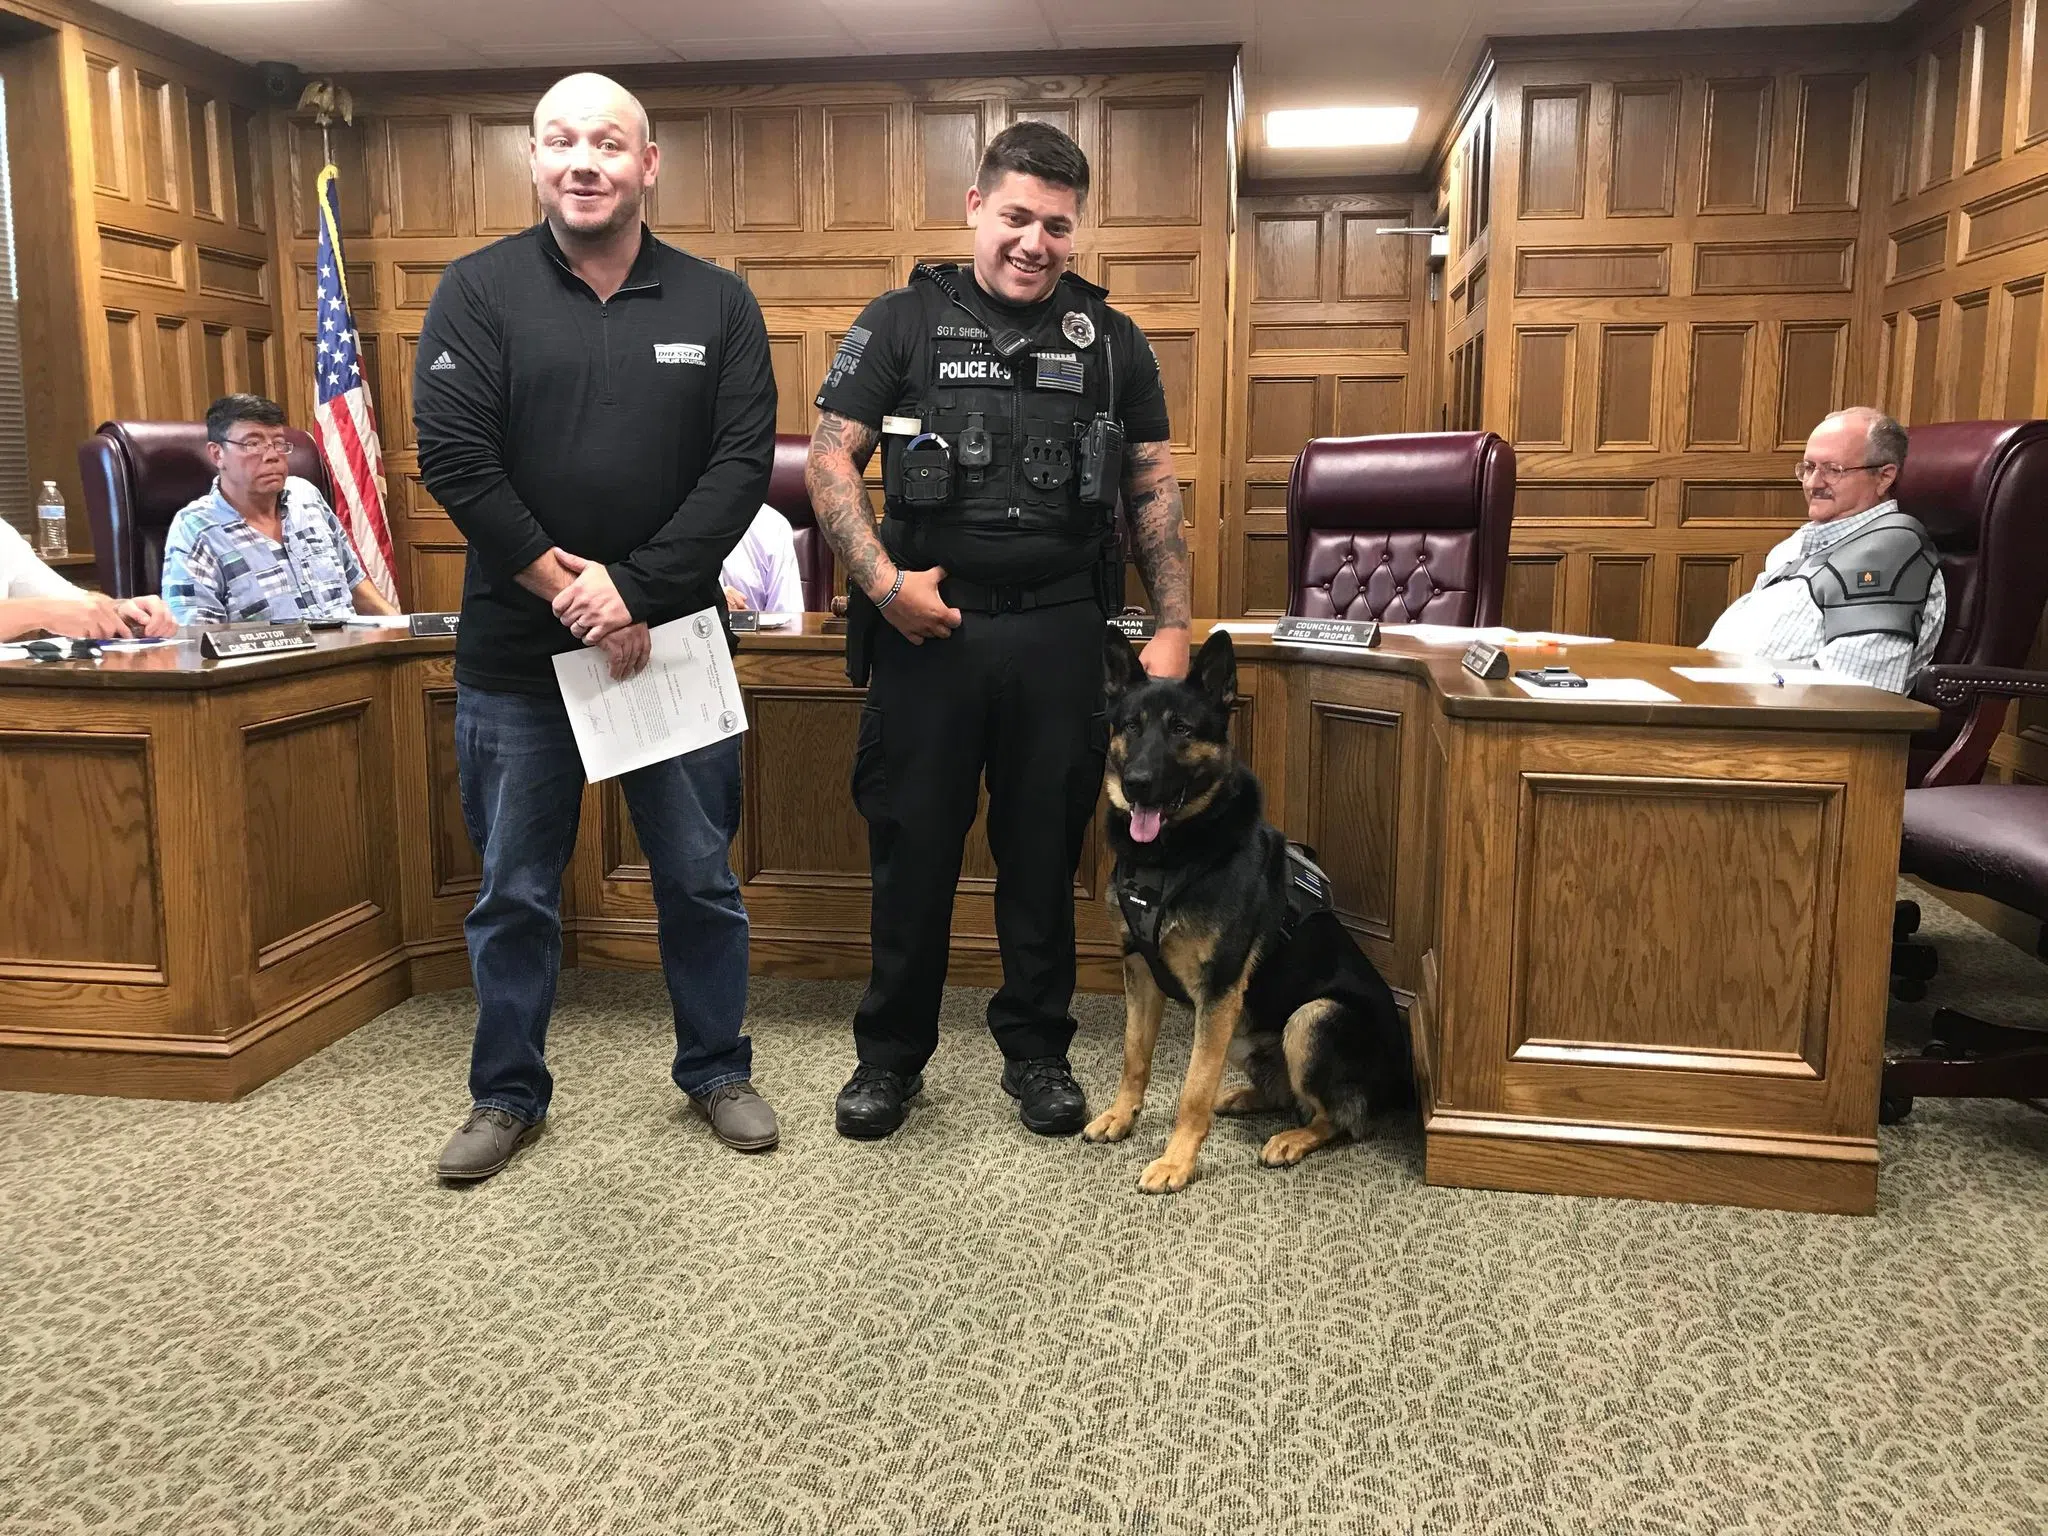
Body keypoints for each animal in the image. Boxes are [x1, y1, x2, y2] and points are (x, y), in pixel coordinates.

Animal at [1089, 630, 1409, 1196]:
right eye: (1130, 726)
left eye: (1181, 729)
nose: (1137, 783)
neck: (1174, 856)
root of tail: (1400, 1081)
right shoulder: (1140, 971)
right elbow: (1134, 1057)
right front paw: (1121, 1116)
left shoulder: (1219, 991)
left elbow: (1193, 1088)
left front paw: (1177, 1162)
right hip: (1242, 1033)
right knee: (1287, 1096)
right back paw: (1244, 1098)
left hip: (1309, 1018)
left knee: (1337, 1117)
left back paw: (1293, 1138)